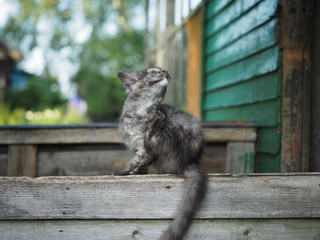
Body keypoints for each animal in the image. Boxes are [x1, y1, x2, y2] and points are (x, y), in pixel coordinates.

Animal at [115, 67, 208, 240]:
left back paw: (156, 120)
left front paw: (124, 172)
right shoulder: (137, 147)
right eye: (153, 71)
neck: (141, 111)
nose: (165, 70)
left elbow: (136, 162)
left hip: (171, 129)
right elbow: (140, 165)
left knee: (154, 136)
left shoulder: (144, 150)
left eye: (160, 70)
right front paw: (139, 174)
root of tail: (190, 161)